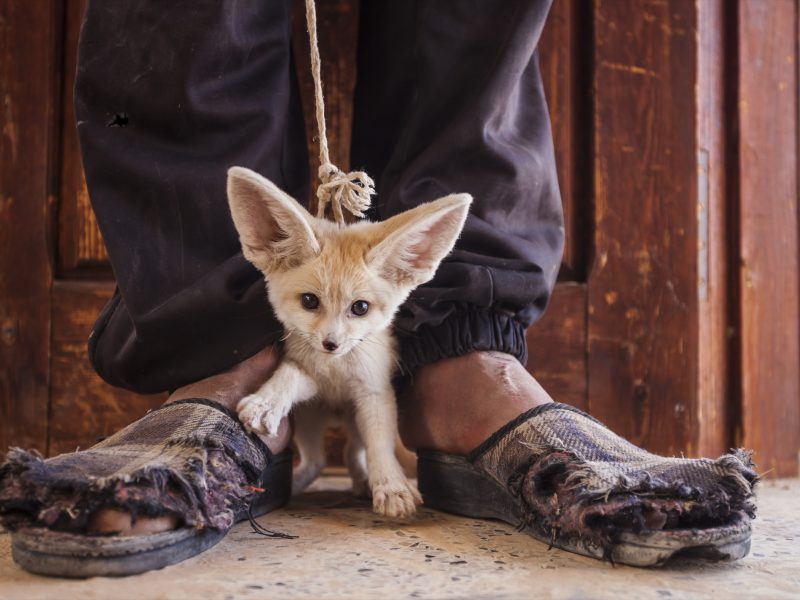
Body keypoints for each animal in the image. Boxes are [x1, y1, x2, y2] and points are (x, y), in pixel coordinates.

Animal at [226, 166, 471, 517]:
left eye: (360, 308)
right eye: (310, 302)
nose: (331, 344)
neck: (336, 372)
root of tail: (337, 414)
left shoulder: (374, 393)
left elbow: (380, 446)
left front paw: (392, 486)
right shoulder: (310, 377)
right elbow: (290, 374)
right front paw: (268, 401)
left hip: (354, 422)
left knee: (352, 454)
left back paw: (363, 482)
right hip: (310, 420)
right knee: (318, 461)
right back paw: (296, 485)